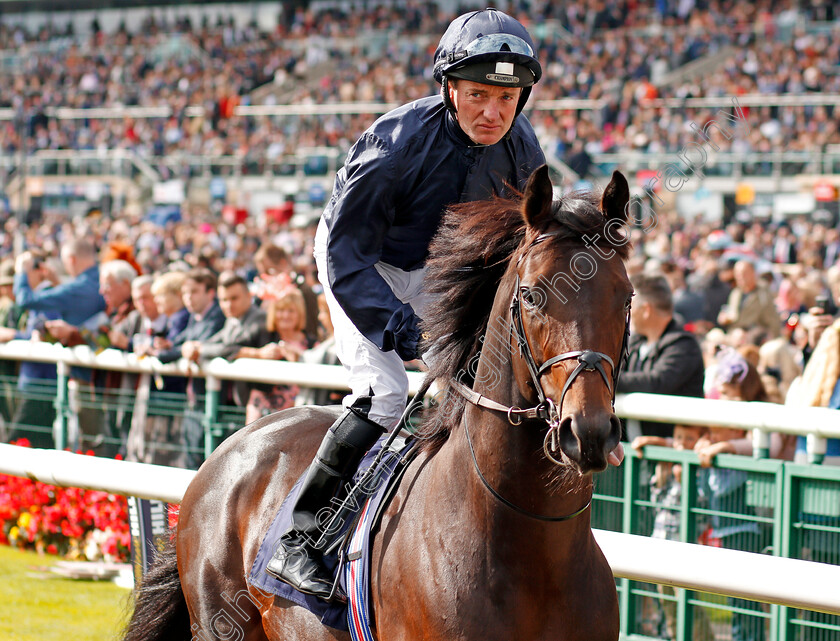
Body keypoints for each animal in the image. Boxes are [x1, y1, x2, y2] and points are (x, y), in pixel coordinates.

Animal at [123, 165, 632, 640]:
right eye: (531, 295)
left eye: (626, 297)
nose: (587, 431)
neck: (533, 547)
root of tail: (233, 444)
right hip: (218, 621)